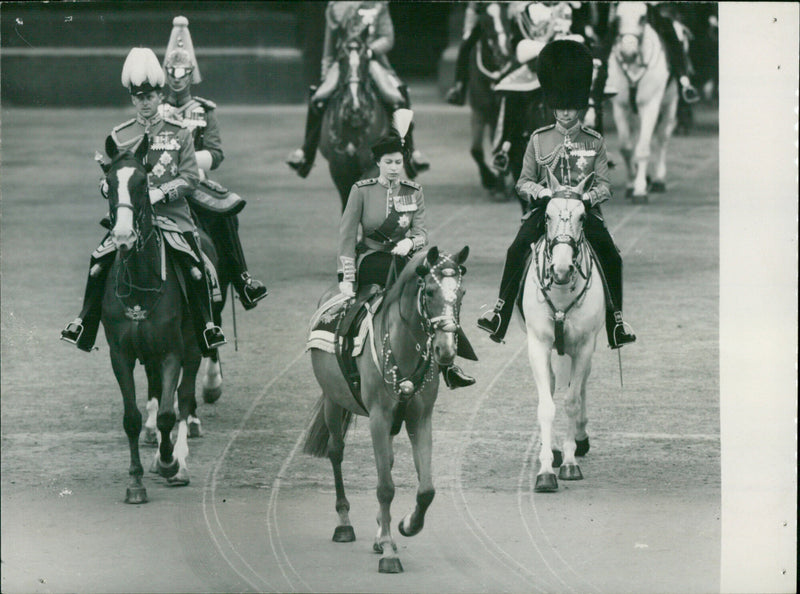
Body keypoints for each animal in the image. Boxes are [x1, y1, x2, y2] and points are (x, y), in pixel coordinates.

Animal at [520, 168, 604, 490]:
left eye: (583, 217)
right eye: (546, 215)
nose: (562, 268)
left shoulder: (583, 346)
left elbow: (571, 401)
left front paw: (569, 462)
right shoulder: (538, 344)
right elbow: (547, 405)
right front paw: (545, 469)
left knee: (579, 385)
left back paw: (579, 439)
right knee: (555, 382)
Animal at [608, 1, 680, 204]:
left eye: (642, 18)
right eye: (618, 18)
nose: (628, 53)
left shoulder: (650, 105)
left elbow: (642, 148)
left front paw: (640, 190)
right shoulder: (620, 107)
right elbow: (626, 148)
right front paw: (631, 184)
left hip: (670, 104)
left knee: (662, 139)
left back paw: (658, 180)